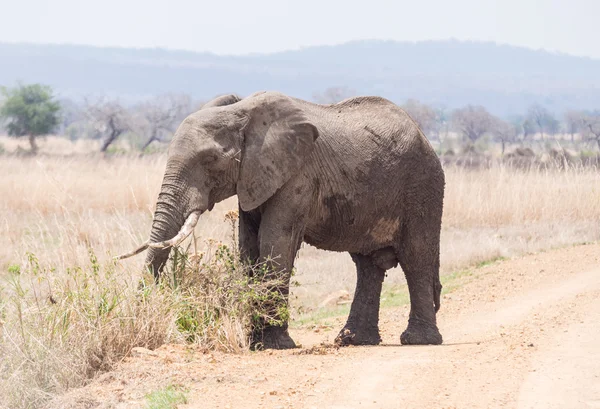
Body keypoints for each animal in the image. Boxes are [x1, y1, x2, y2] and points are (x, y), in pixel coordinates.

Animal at [118, 91, 446, 350]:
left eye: (210, 161)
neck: (242, 113)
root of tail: (423, 135)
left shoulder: (297, 176)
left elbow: (275, 241)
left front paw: (273, 345)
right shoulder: (253, 178)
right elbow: (248, 246)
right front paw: (255, 342)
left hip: (422, 185)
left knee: (415, 256)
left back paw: (418, 341)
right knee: (367, 265)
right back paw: (353, 341)